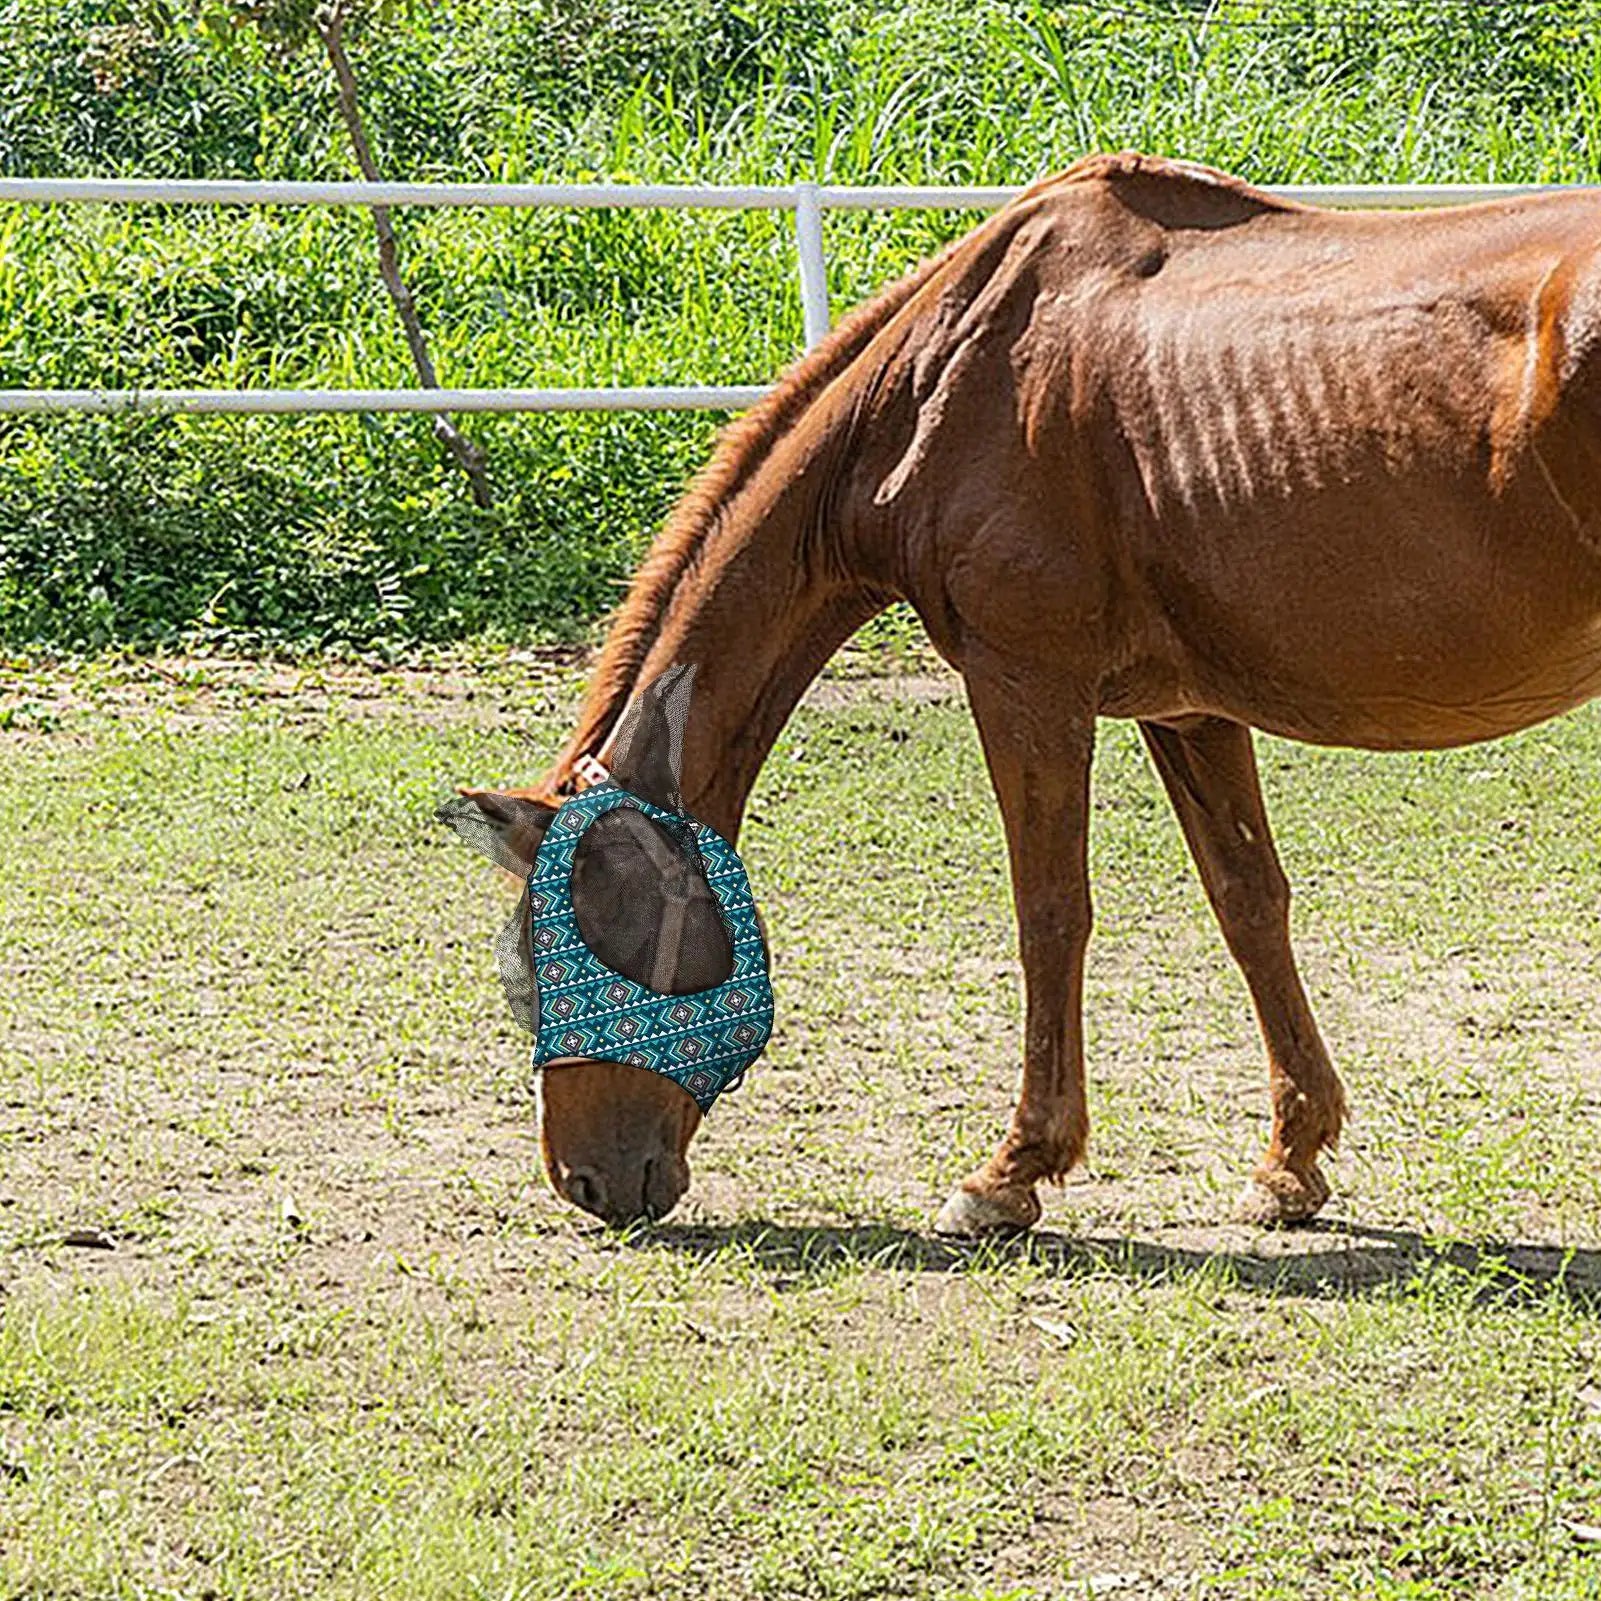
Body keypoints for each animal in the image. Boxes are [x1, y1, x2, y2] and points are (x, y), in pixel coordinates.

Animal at [448, 150, 1601, 1235]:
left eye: (555, 943)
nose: (586, 1181)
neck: (943, 384)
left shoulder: (1024, 686)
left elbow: (1049, 913)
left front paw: (1009, 1174)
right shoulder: (1188, 709)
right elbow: (1248, 903)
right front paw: (1289, 1160)